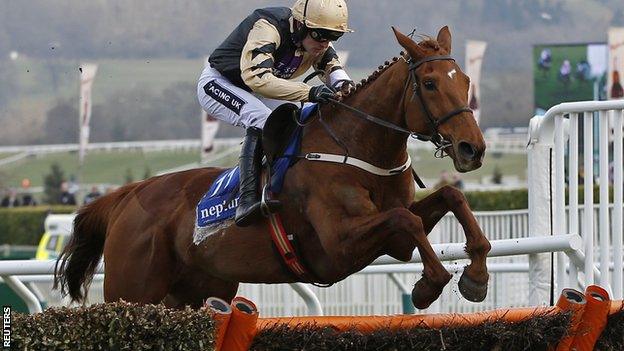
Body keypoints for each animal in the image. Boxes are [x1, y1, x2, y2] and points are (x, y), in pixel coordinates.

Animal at [53, 26, 490, 310]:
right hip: (132, 291)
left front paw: (476, 276)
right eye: (430, 83)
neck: (356, 148)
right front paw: (430, 285)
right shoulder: (339, 243)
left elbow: (449, 197)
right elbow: (407, 219)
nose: (472, 148)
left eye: (466, 80)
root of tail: (126, 196)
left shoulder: (391, 240)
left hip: (194, 293)